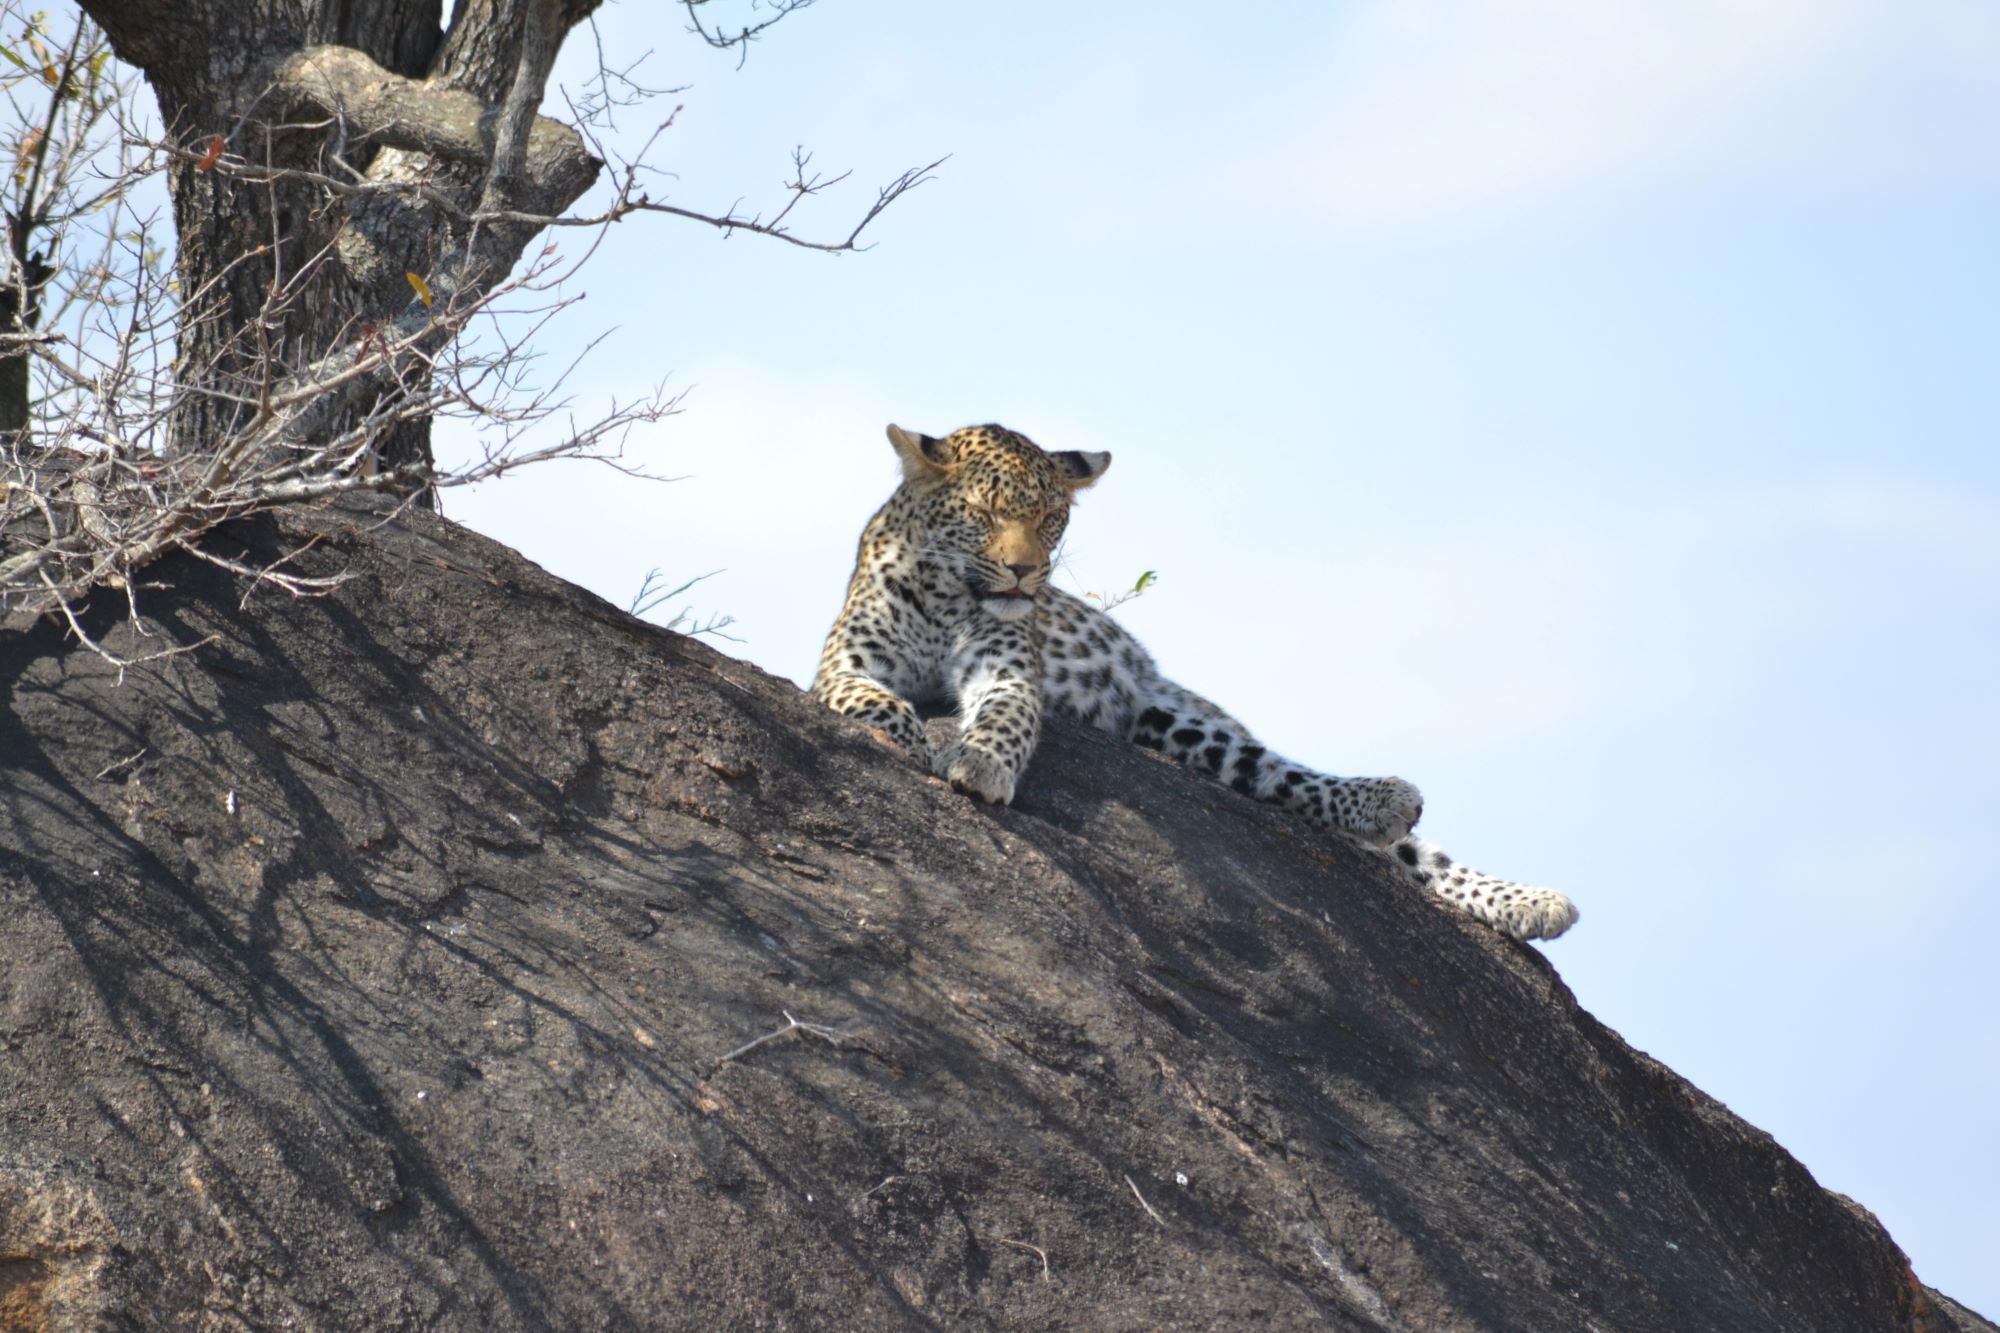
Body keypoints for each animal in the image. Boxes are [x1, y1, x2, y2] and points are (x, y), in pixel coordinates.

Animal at [812, 422, 1578, 941]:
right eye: (985, 512)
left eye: (1050, 519)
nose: (1027, 574)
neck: (947, 594)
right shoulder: (844, 668)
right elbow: (880, 705)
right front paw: (923, 740)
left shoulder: (1006, 670)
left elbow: (1005, 720)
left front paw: (977, 764)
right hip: (1173, 731)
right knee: (1281, 782)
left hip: (1185, 718)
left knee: (1369, 820)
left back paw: (1505, 882)